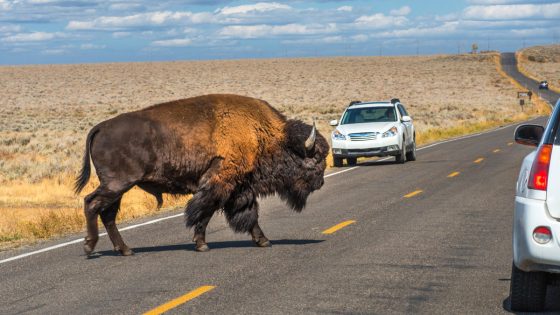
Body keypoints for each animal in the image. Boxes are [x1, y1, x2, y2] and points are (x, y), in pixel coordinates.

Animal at [74, 94, 328, 256]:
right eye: (315, 158)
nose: (320, 182)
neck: (263, 134)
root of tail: (100, 127)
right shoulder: (219, 184)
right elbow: (203, 212)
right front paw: (201, 244)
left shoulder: (240, 188)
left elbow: (249, 214)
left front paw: (263, 240)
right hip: (117, 184)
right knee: (91, 203)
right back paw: (90, 247)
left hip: (118, 188)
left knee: (107, 214)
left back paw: (125, 250)